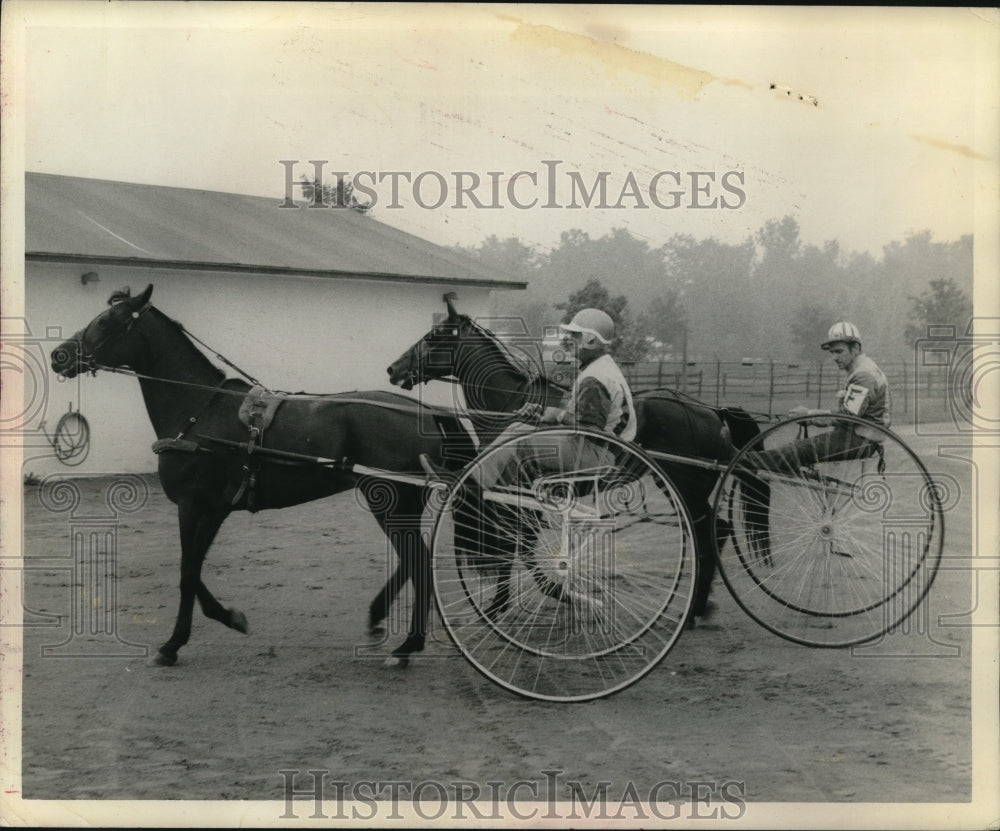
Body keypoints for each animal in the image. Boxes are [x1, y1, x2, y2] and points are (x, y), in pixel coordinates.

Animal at [51, 286, 476, 668]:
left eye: (107, 320)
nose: (59, 355)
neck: (201, 411)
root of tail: (424, 412)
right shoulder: (214, 509)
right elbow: (195, 569)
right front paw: (229, 618)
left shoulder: (192, 505)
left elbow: (187, 572)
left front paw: (173, 644)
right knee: (413, 561)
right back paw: (387, 625)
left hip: (390, 504)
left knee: (418, 562)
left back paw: (407, 646)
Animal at [386, 298, 760, 616]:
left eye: (434, 336)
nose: (393, 368)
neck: (509, 404)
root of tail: (710, 411)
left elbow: (514, 546)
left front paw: (502, 605)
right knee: (716, 530)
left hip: (686, 488)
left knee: (711, 533)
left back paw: (696, 608)